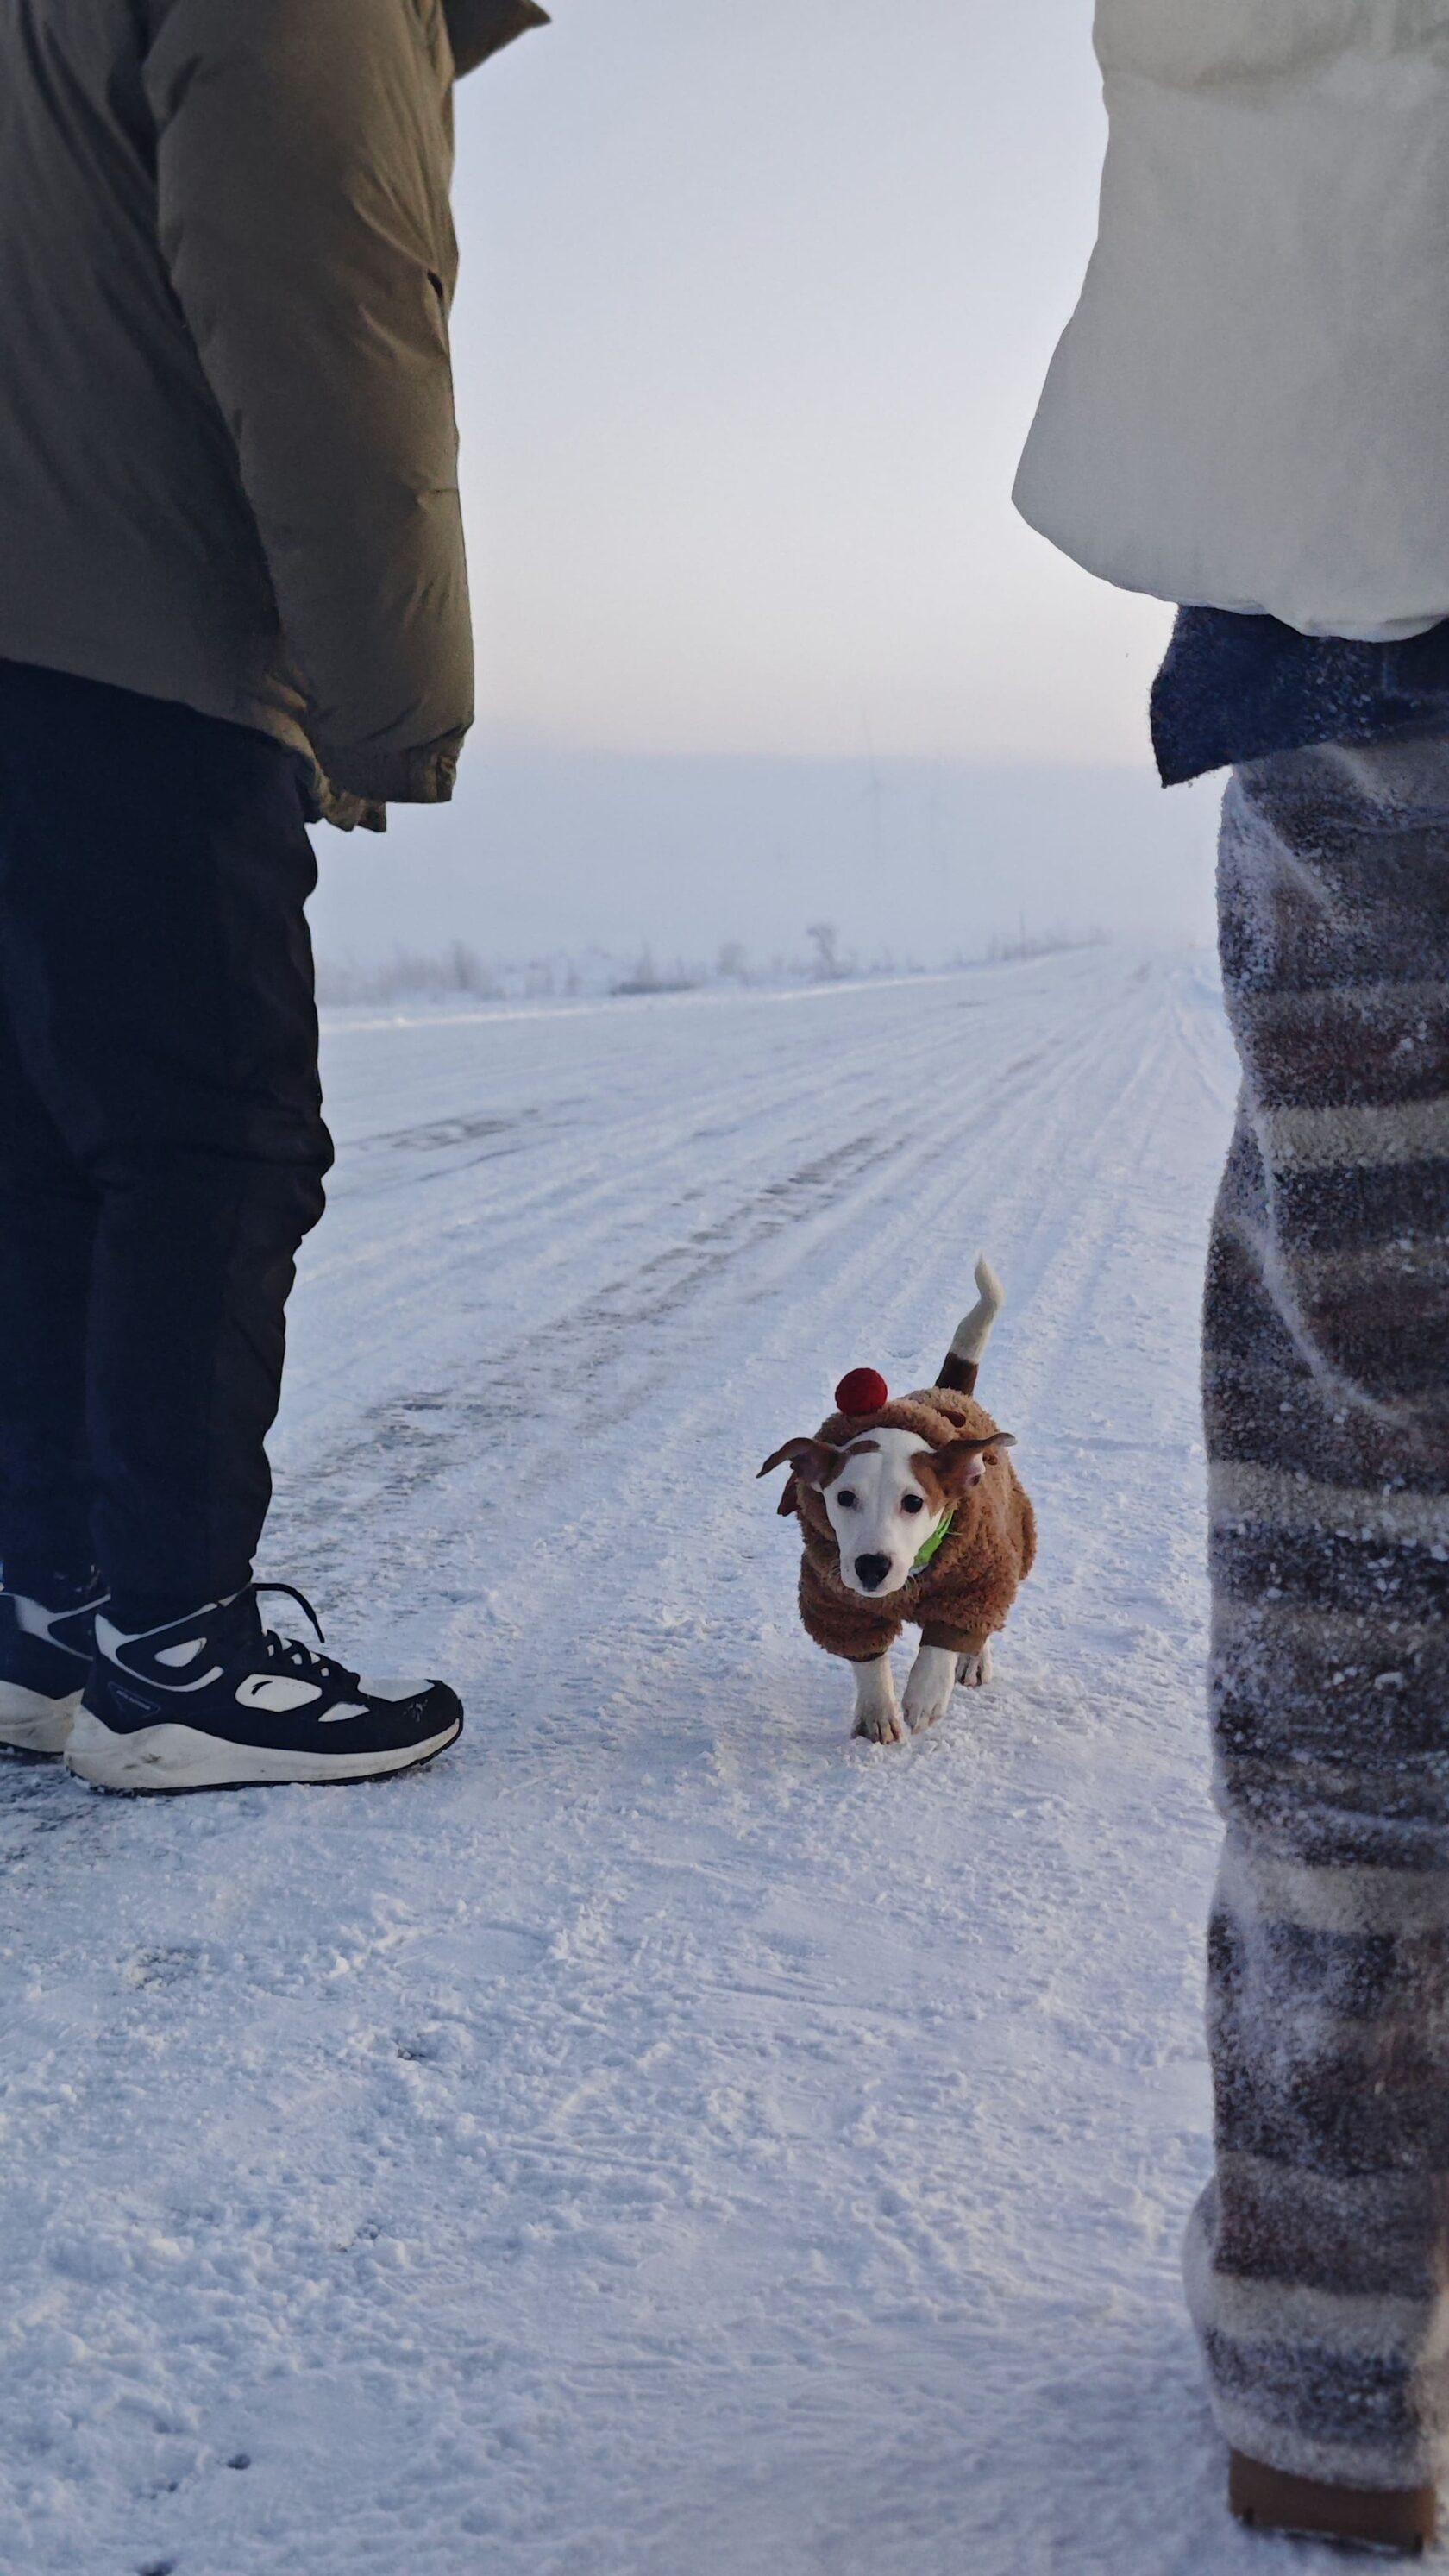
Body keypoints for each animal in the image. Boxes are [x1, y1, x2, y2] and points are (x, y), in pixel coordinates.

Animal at [759, 1258, 1035, 1743]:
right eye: (844, 1497)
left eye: (913, 1502)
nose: (872, 1566)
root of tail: (950, 1392)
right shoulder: (836, 1596)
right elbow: (866, 1656)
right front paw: (877, 1713)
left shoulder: (976, 1574)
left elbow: (946, 1639)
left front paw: (925, 1696)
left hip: (1009, 1540)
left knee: (986, 1617)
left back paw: (973, 1659)